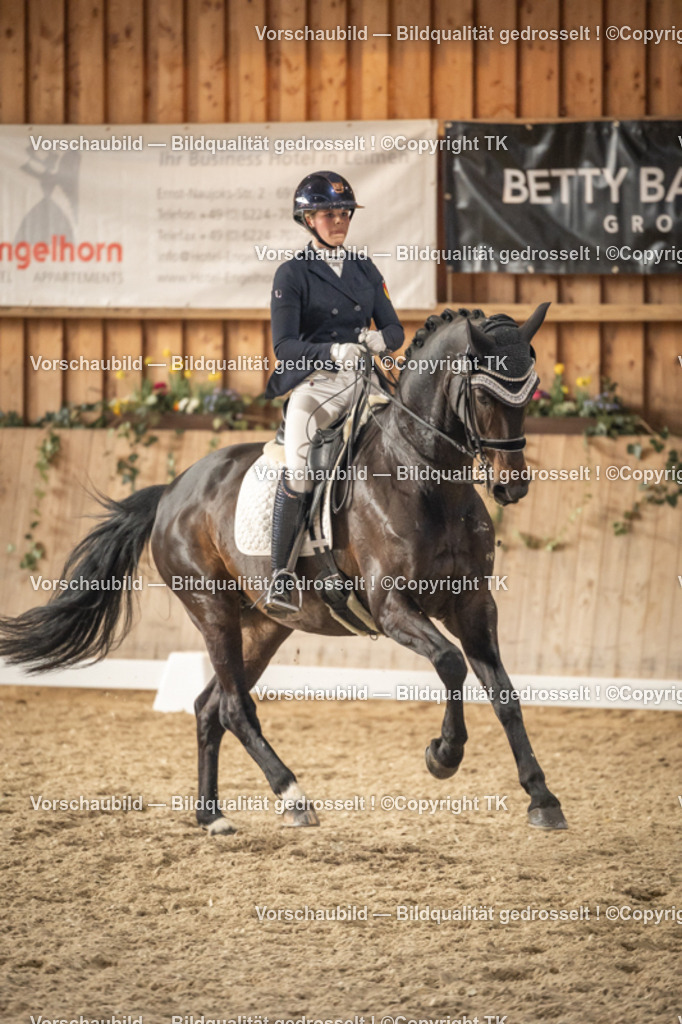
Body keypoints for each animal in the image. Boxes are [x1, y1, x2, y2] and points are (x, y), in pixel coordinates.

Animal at [0, 304, 568, 835]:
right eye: (486, 396)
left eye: (530, 392)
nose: (512, 487)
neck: (425, 478)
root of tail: (172, 492)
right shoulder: (392, 607)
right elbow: (450, 664)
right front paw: (443, 755)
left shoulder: (473, 604)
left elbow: (504, 693)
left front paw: (542, 798)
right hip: (212, 611)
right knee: (233, 707)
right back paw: (292, 795)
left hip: (264, 627)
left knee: (209, 706)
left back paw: (212, 815)